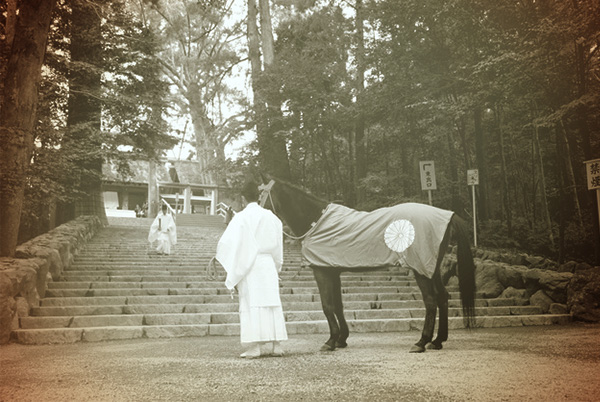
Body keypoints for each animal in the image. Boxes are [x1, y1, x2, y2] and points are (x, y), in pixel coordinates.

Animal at [260, 176, 476, 352]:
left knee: (431, 301)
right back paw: (437, 341)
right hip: (432, 268)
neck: (318, 221)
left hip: (421, 268)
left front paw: (330, 342)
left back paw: (421, 342)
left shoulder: (321, 271)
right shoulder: (333, 271)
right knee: (442, 297)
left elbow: (327, 306)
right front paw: (341, 339)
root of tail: (448, 215)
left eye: (261, 194)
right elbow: (338, 305)